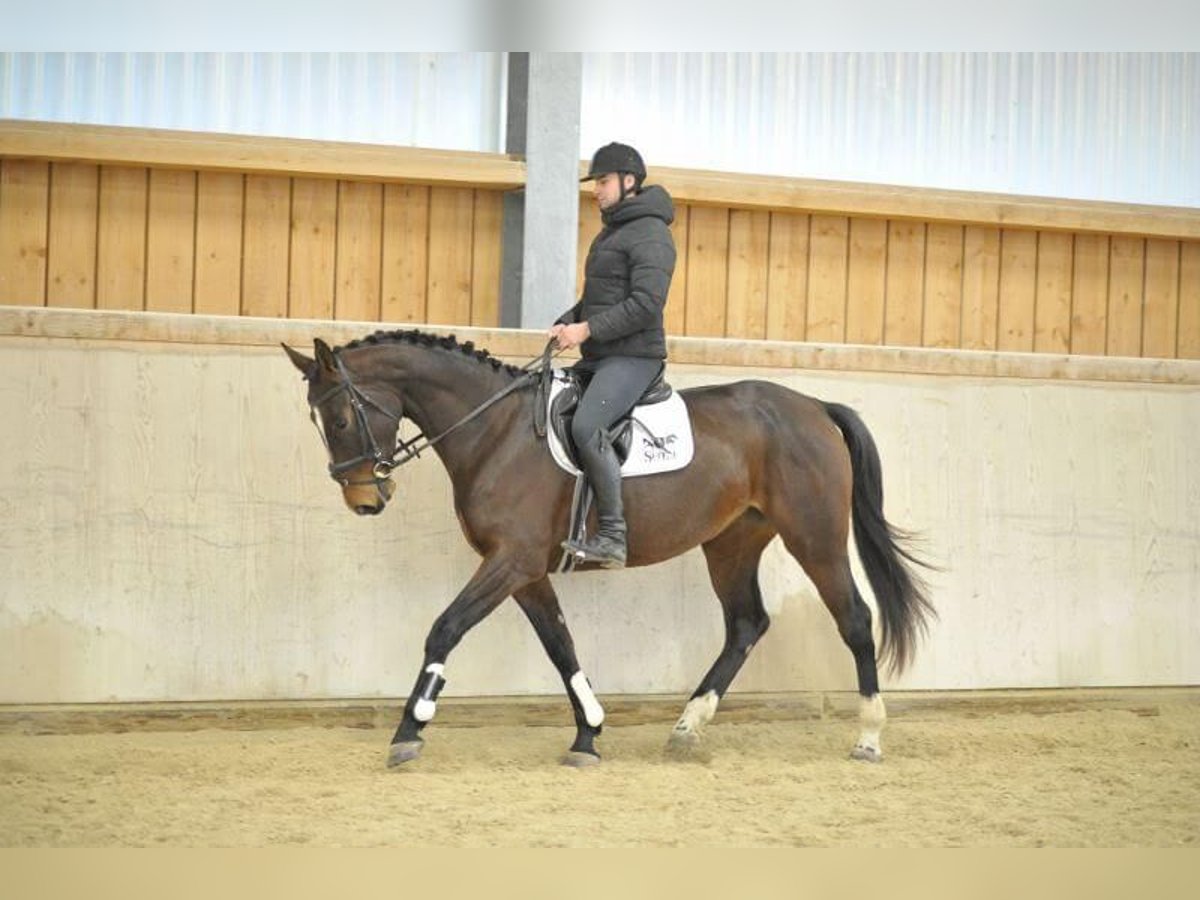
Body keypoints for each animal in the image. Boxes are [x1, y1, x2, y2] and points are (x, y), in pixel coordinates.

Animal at [283, 328, 936, 768]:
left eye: (341, 419)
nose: (364, 499)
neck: (495, 432)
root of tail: (815, 408)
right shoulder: (526, 570)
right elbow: (561, 647)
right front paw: (588, 735)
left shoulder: (511, 560)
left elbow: (445, 628)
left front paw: (409, 729)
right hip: (732, 542)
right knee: (746, 624)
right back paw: (686, 728)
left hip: (814, 535)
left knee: (854, 619)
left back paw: (869, 737)